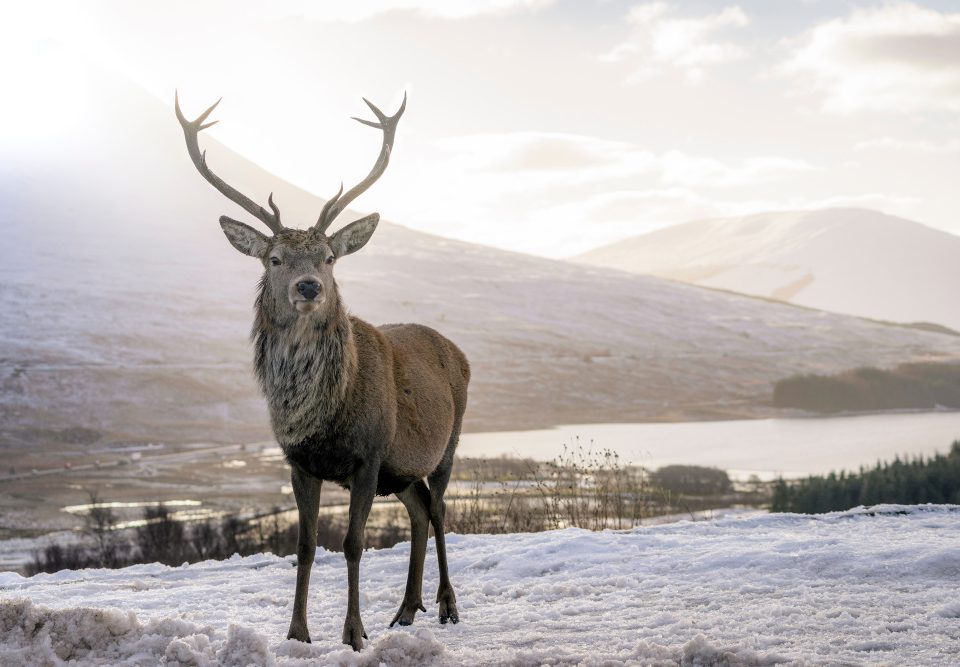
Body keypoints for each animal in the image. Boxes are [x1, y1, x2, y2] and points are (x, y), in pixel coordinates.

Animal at [175, 92, 470, 651]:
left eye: (330, 256)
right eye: (274, 258)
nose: (308, 286)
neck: (324, 415)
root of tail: (458, 350)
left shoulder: (369, 454)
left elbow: (353, 543)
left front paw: (353, 633)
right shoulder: (299, 462)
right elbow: (306, 546)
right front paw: (297, 632)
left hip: (448, 441)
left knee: (441, 510)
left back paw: (447, 605)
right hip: (401, 470)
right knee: (419, 511)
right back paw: (405, 610)